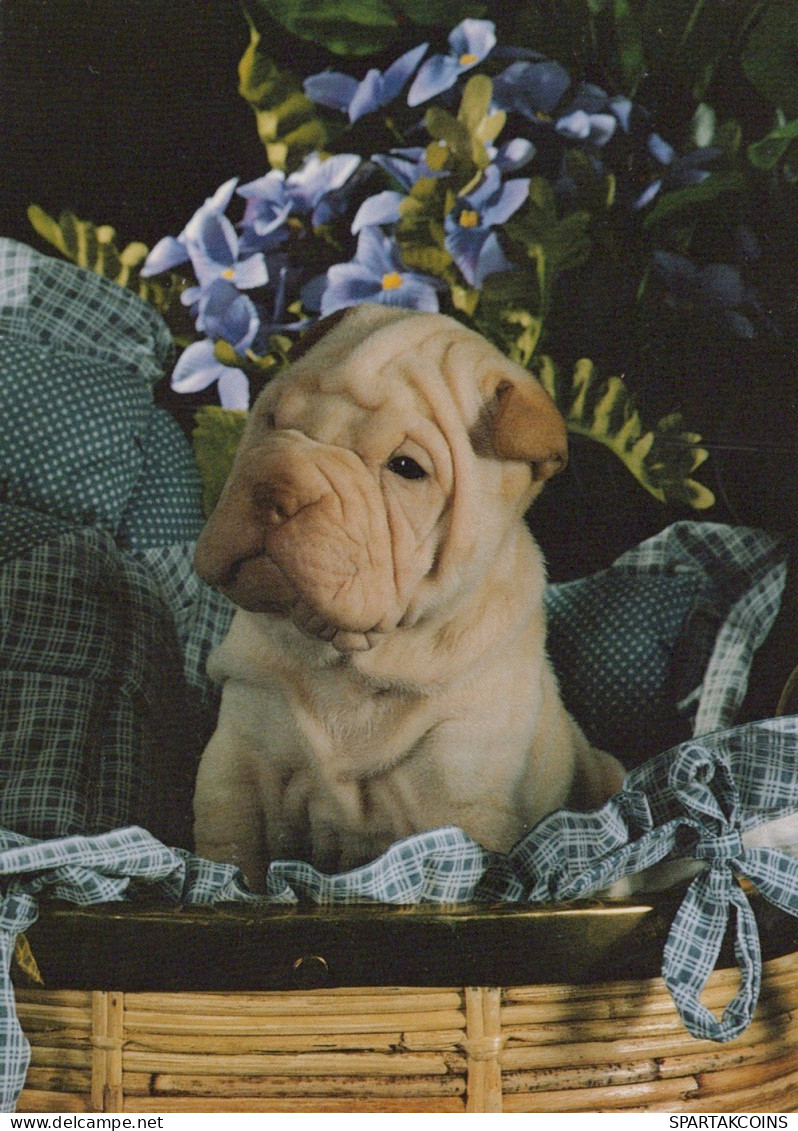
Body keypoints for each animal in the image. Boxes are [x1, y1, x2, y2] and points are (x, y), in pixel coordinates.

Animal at [191, 303, 623, 891]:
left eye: (406, 469)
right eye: (273, 420)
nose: (277, 488)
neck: (347, 664)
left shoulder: (460, 798)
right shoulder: (238, 764)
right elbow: (230, 852)